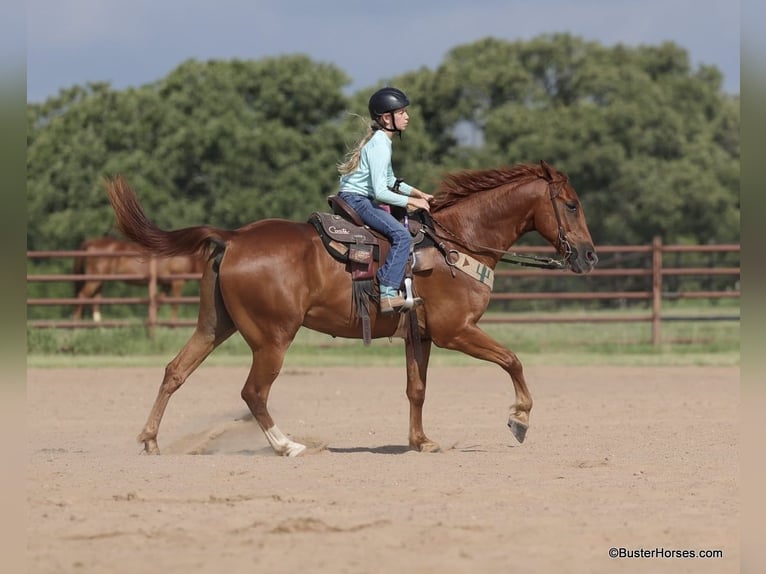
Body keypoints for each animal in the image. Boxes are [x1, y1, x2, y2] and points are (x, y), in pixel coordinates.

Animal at [72, 237, 205, 322]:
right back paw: (76, 323)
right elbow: (175, 303)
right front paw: (173, 325)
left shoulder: (166, 285)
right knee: (82, 296)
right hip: (94, 280)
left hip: (99, 280)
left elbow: (158, 303)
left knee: (95, 300)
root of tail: (90, 243)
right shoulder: (177, 281)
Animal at [104, 160, 597, 456]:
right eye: (571, 205)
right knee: (253, 392)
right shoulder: (457, 331)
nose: (590, 256)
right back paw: (286, 446)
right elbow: (512, 360)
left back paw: (150, 440)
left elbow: (416, 389)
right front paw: (520, 419)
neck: (456, 242)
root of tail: (234, 237)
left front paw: (420, 441)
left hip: (214, 325)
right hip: (272, 339)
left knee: (175, 371)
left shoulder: (421, 336)